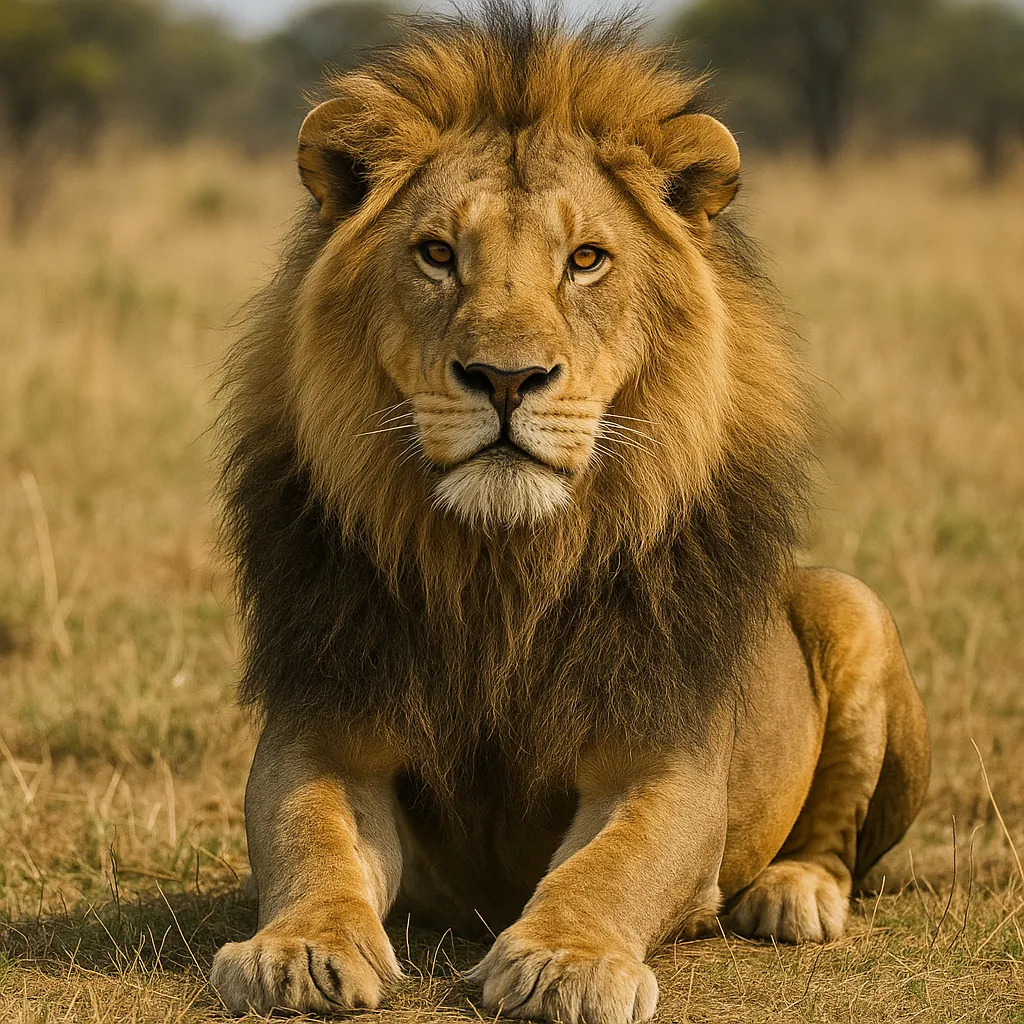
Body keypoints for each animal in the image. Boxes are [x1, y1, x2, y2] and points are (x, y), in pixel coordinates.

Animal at [210, 5, 930, 1022]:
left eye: (585, 260)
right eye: (437, 254)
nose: (506, 378)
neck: (503, 568)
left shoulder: (662, 759)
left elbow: (612, 868)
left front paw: (566, 960)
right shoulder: (327, 724)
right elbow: (310, 837)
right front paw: (299, 947)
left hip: (849, 601)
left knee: (835, 840)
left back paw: (792, 897)